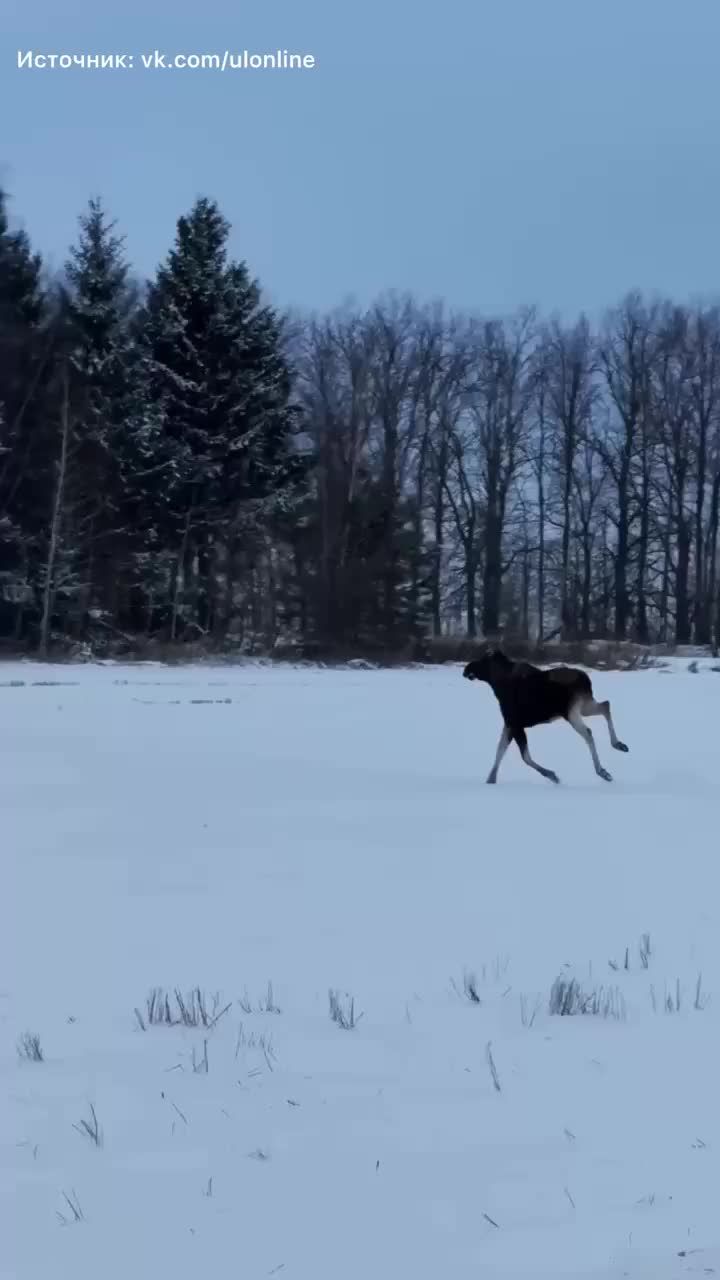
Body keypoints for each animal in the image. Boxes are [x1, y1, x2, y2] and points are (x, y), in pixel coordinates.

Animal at [461, 645, 625, 783]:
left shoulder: (515, 724)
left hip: (570, 712)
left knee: (588, 732)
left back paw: (602, 771)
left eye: (482, 660)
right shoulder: (509, 724)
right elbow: (500, 750)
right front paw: (491, 779)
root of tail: (586, 681)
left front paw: (552, 775)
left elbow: (524, 757)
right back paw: (619, 744)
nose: (466, 669)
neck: (497, 685)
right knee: (606, 705)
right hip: (584, 706)